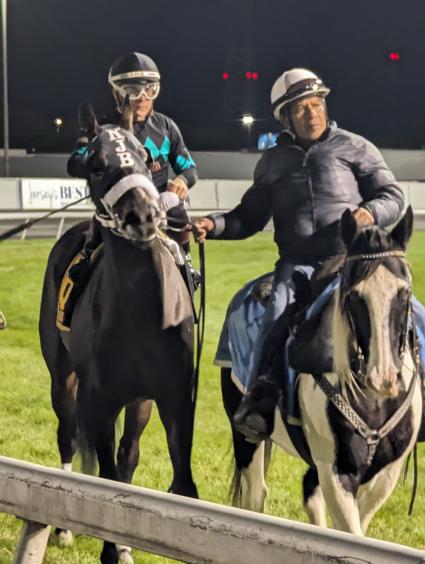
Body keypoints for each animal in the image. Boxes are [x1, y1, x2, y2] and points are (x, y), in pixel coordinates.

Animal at [39, 103, 197, 560]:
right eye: (95, 164)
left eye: (144, 156)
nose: (143, 215)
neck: (141, 312)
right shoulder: (100, 399)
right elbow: (105, 479)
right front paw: (110, 547)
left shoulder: (174, 397)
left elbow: (173, 479)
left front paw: (126, 545)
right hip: (63, 378)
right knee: (68, 437)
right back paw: (63, 529)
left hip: (139, 400)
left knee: (128, 455)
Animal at [220, 209, 422, 536]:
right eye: (353, 294)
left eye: (404, 292)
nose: (383, 379)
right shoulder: (335, 470)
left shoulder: (384, 475)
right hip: (245, 436)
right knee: (255, 496)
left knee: (308, 492)